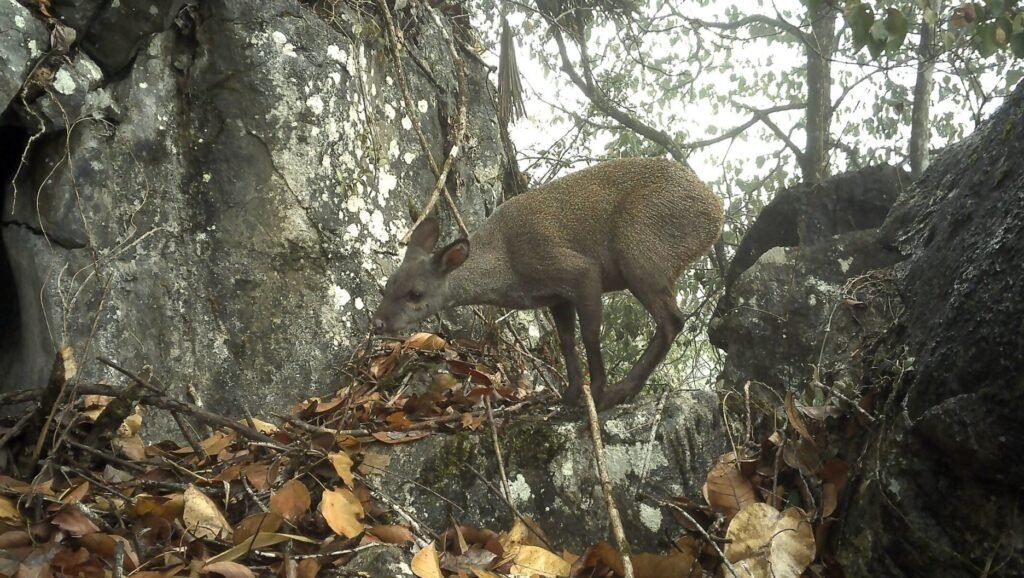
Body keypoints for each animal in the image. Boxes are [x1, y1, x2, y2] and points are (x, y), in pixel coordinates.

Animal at [371, 157, 724, 410]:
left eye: (416, 293)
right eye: (387, 285)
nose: (378, 322)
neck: (507, 259)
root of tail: (716, 210)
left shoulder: (580, 271)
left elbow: (590, 335)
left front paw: (595, 393)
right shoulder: (557, 298)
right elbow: (567, 342)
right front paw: (567, 396)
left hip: (640, 254)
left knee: (672, 320)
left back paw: (621, 392)